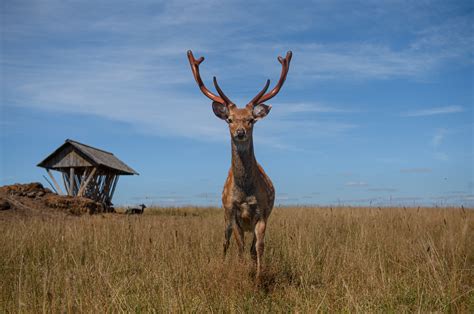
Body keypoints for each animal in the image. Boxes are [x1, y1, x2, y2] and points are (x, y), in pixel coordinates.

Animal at [186, 47, 290, 278]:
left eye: (251, 120)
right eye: (229, 119)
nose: (240, 132)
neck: (245, 193)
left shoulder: (263, 212)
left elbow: (258, 247)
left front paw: (258, 276)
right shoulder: (232, 212)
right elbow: (238, 246)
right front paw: (241, 271)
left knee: (251, 247)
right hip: (225, 217)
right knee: (225, 243)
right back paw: (224, 262)